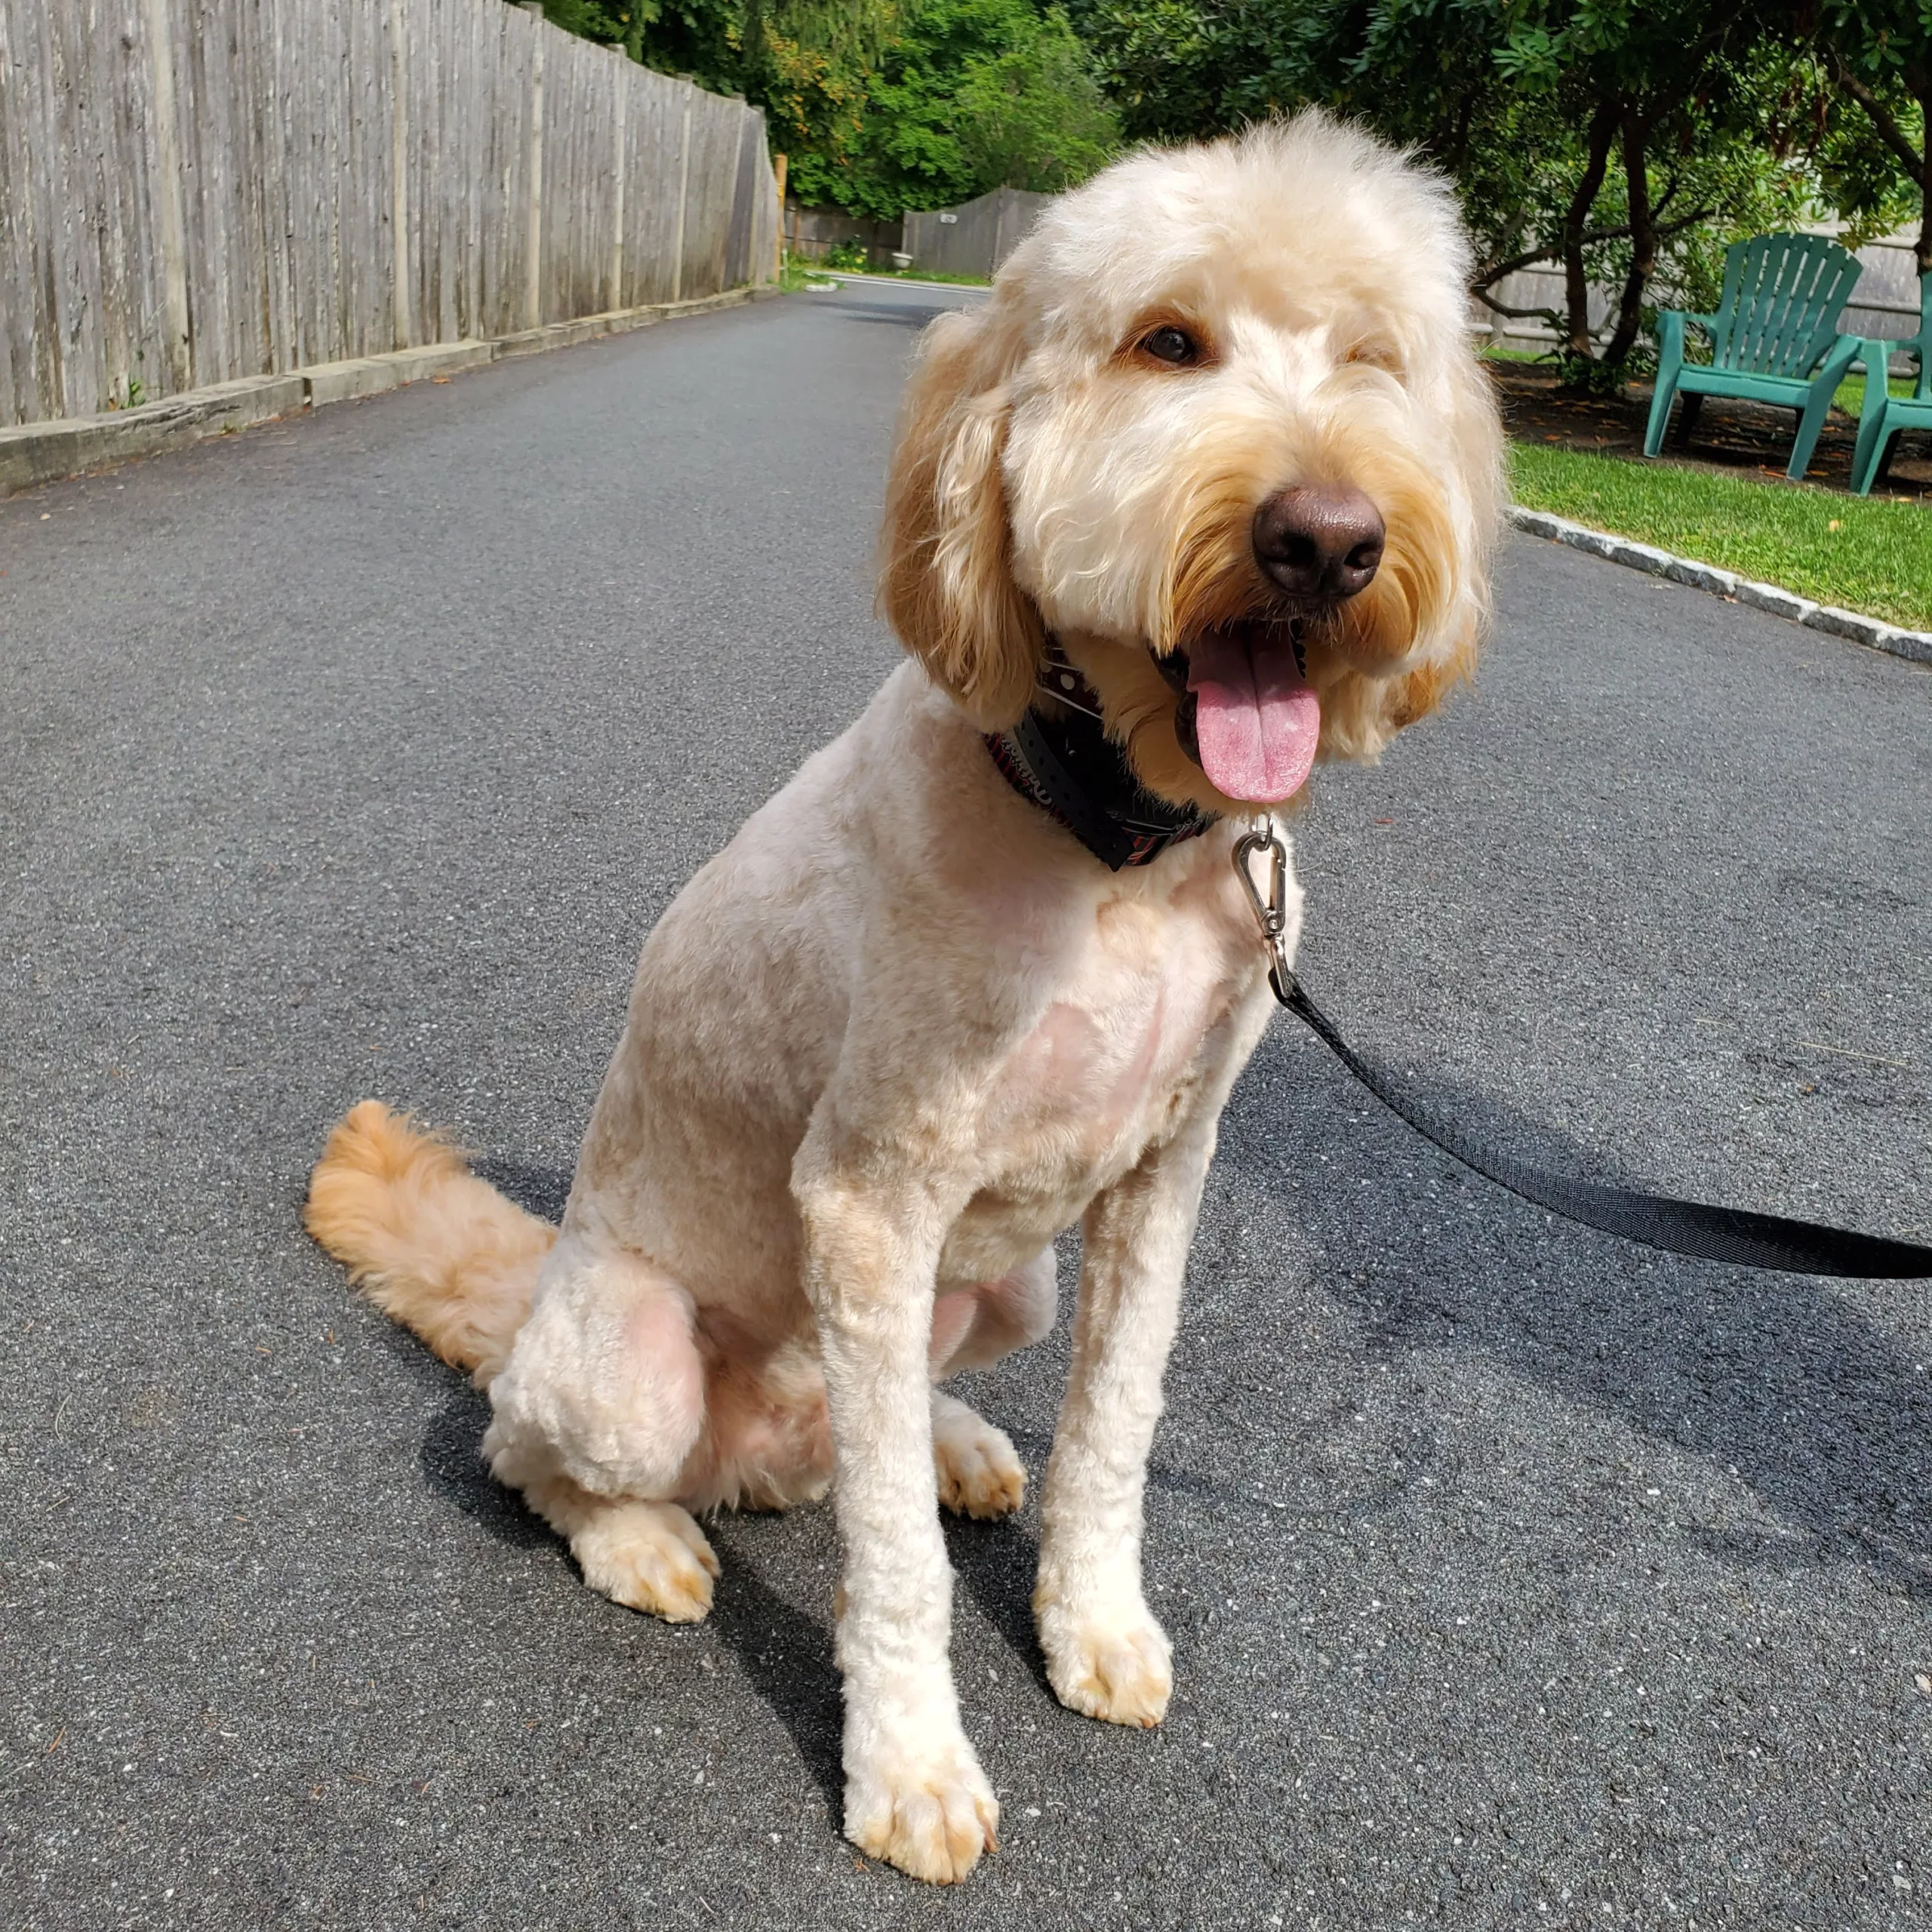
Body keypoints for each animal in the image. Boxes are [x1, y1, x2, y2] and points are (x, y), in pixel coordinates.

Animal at [309, 109, 1499, 1885]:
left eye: (1371, 357)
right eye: (1167, 344)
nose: (1328, 539)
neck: (1119, 848)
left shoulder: (1161, 1180)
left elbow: (1116, 1430)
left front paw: (1094, 1624)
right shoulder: (871, 1199)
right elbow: (893, 1567)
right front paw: (912, 1766)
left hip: (1007, 1288)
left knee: (906, 1398)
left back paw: (953, 1444)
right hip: (627, 1362)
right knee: (529, 1450)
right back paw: (644, 1538)